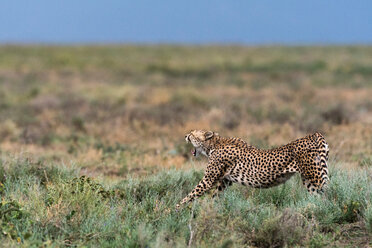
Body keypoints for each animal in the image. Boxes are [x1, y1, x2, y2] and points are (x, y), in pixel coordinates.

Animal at [177, 130, 328, 209]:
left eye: (192, 134)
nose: (185, 136)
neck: (214, 143)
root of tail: (313, 134)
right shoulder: (225, 180)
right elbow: (216, 196)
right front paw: (211, 209)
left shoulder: (208, 180)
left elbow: (191, 194)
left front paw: (175, 209)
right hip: (309, 180)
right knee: (319, 197)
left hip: (315, 177)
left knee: (329, 195)